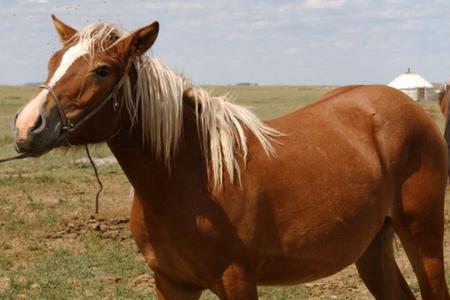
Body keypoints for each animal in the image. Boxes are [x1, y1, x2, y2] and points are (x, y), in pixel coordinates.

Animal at [12, 16, 448, 300]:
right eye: (53, 63)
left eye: (102, 70)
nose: (27, 126)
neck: (190, 177)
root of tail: (405, 107)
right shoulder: (171, 284)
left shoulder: (237, 281)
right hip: (372, 246)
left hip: (422, 236)